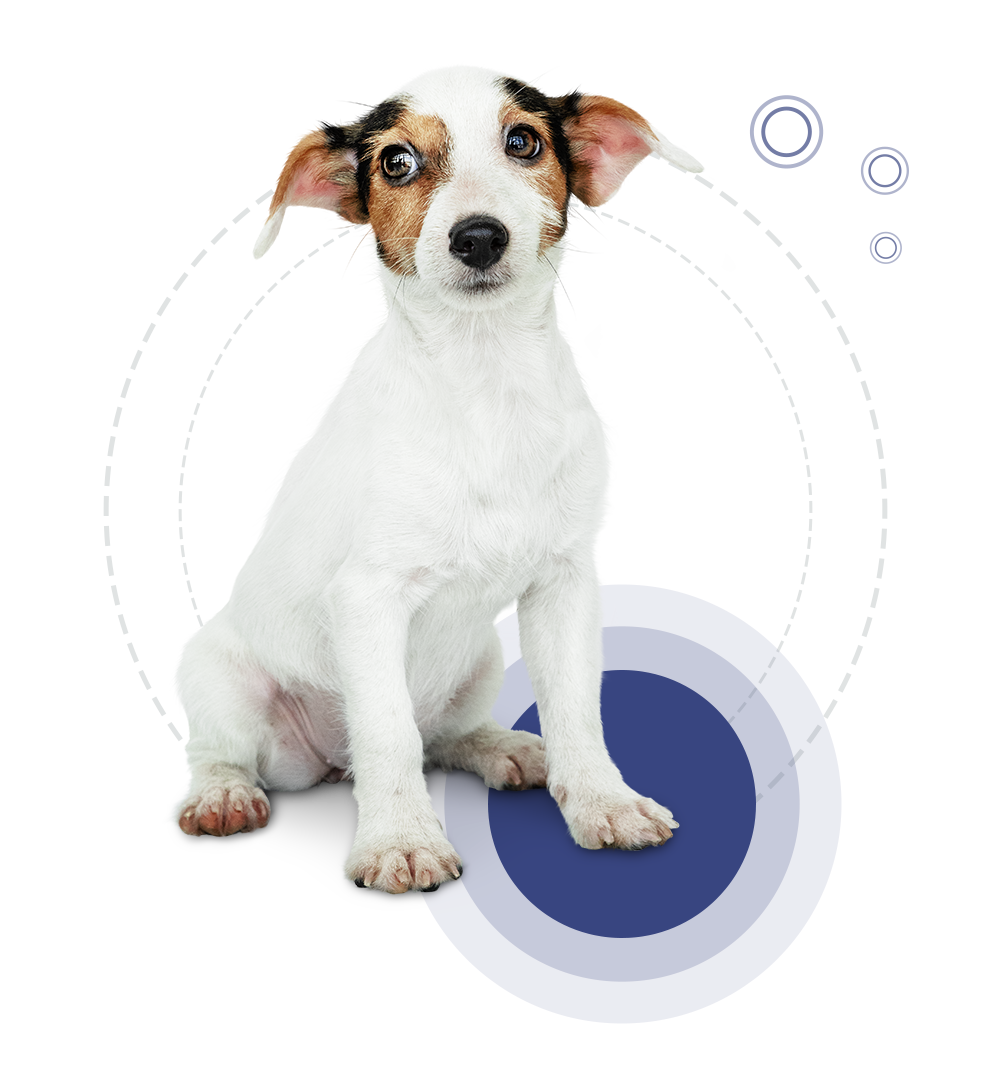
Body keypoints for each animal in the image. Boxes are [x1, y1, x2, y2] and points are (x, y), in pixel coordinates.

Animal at [164, 67, 703, 895]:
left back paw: (502, 746)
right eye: (396, 162)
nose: (478, 237)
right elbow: (385, 731)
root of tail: (329, 764)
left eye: (524, 142)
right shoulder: (368, 597)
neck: (486, 379)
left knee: (442, 737)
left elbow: (577, 709)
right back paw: (223, 795)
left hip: (483, 660)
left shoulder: (566, 587)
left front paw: (601, 799)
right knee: (238, 752)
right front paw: (401, 841)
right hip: (222, 680)